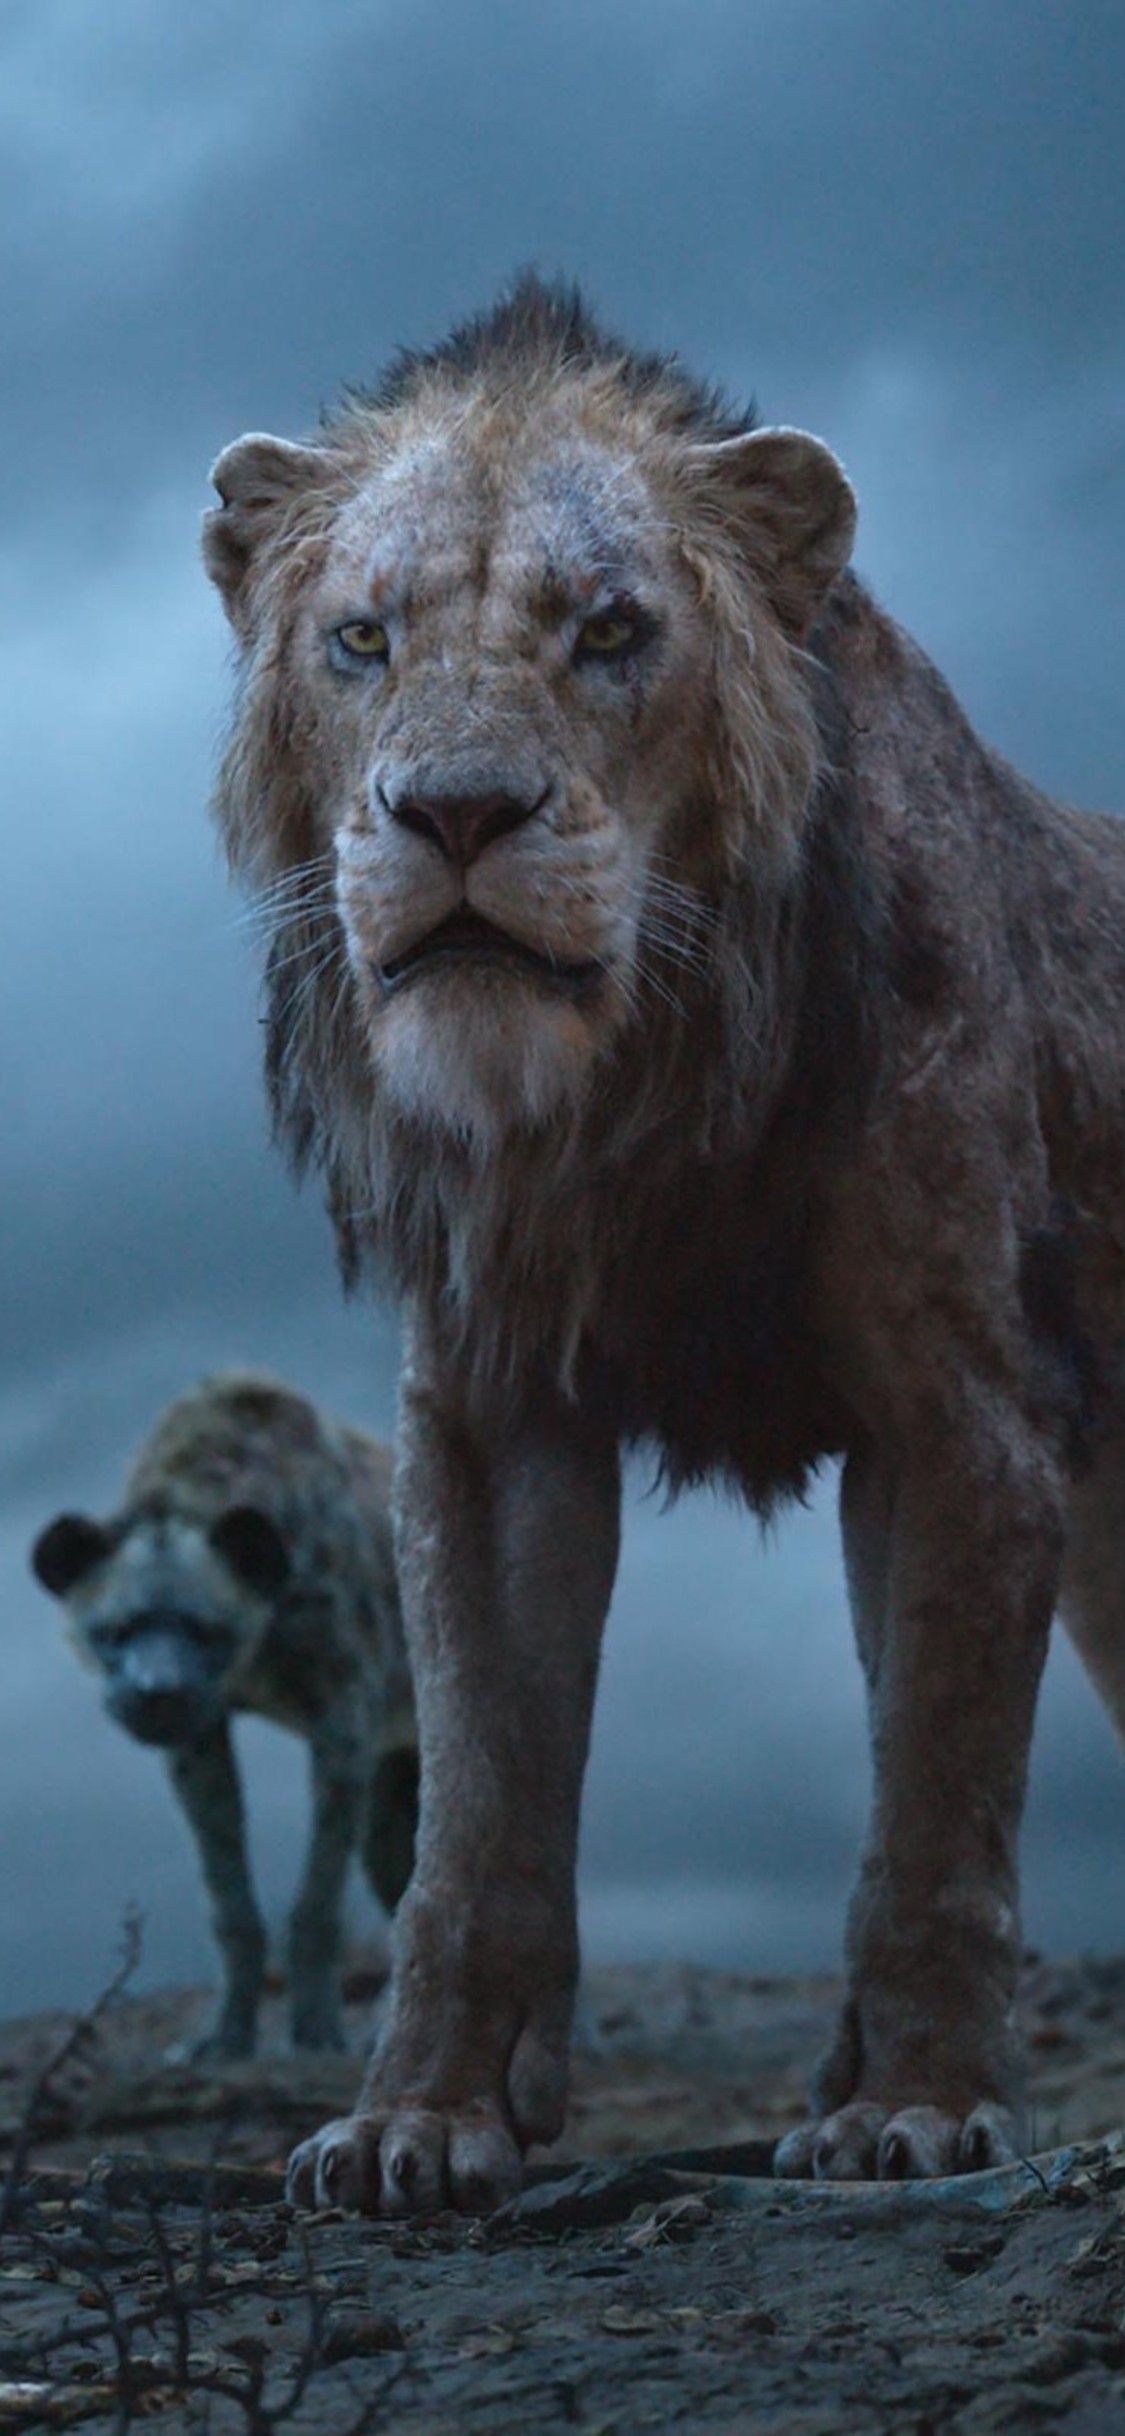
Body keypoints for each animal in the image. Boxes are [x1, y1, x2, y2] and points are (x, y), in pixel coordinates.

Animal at [202, 273, 1125, 2209]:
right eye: (361, 640)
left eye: (613, 630)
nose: (457, 812)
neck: (625, 1091)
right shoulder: (486, 1415)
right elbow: (475, 1811)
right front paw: (420, 2120)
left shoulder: (964, 1414)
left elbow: (934, 1795)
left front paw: (917, 2105)